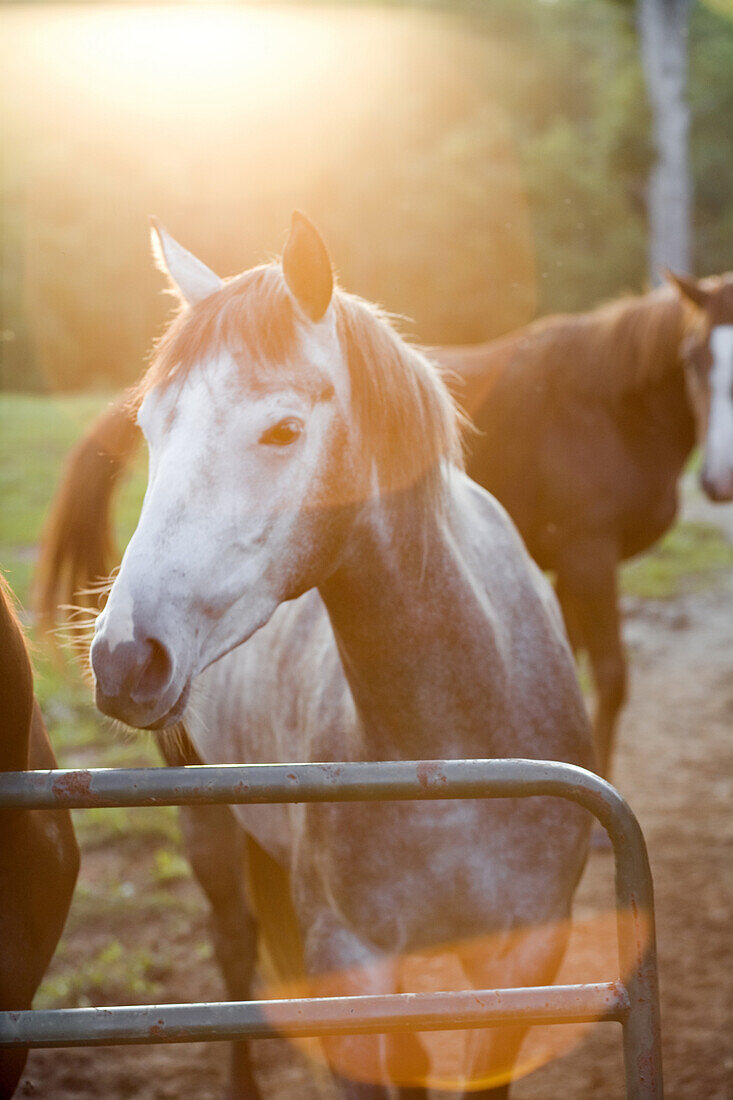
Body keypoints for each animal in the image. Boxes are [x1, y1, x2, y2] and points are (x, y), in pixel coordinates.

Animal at [84, 210, 594, 1095]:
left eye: (283, 429)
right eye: (150, 430)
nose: (123, 660)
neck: (447, 754)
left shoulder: (522, 960)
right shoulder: (349, 969)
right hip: (206, 827)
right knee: (233, 949)